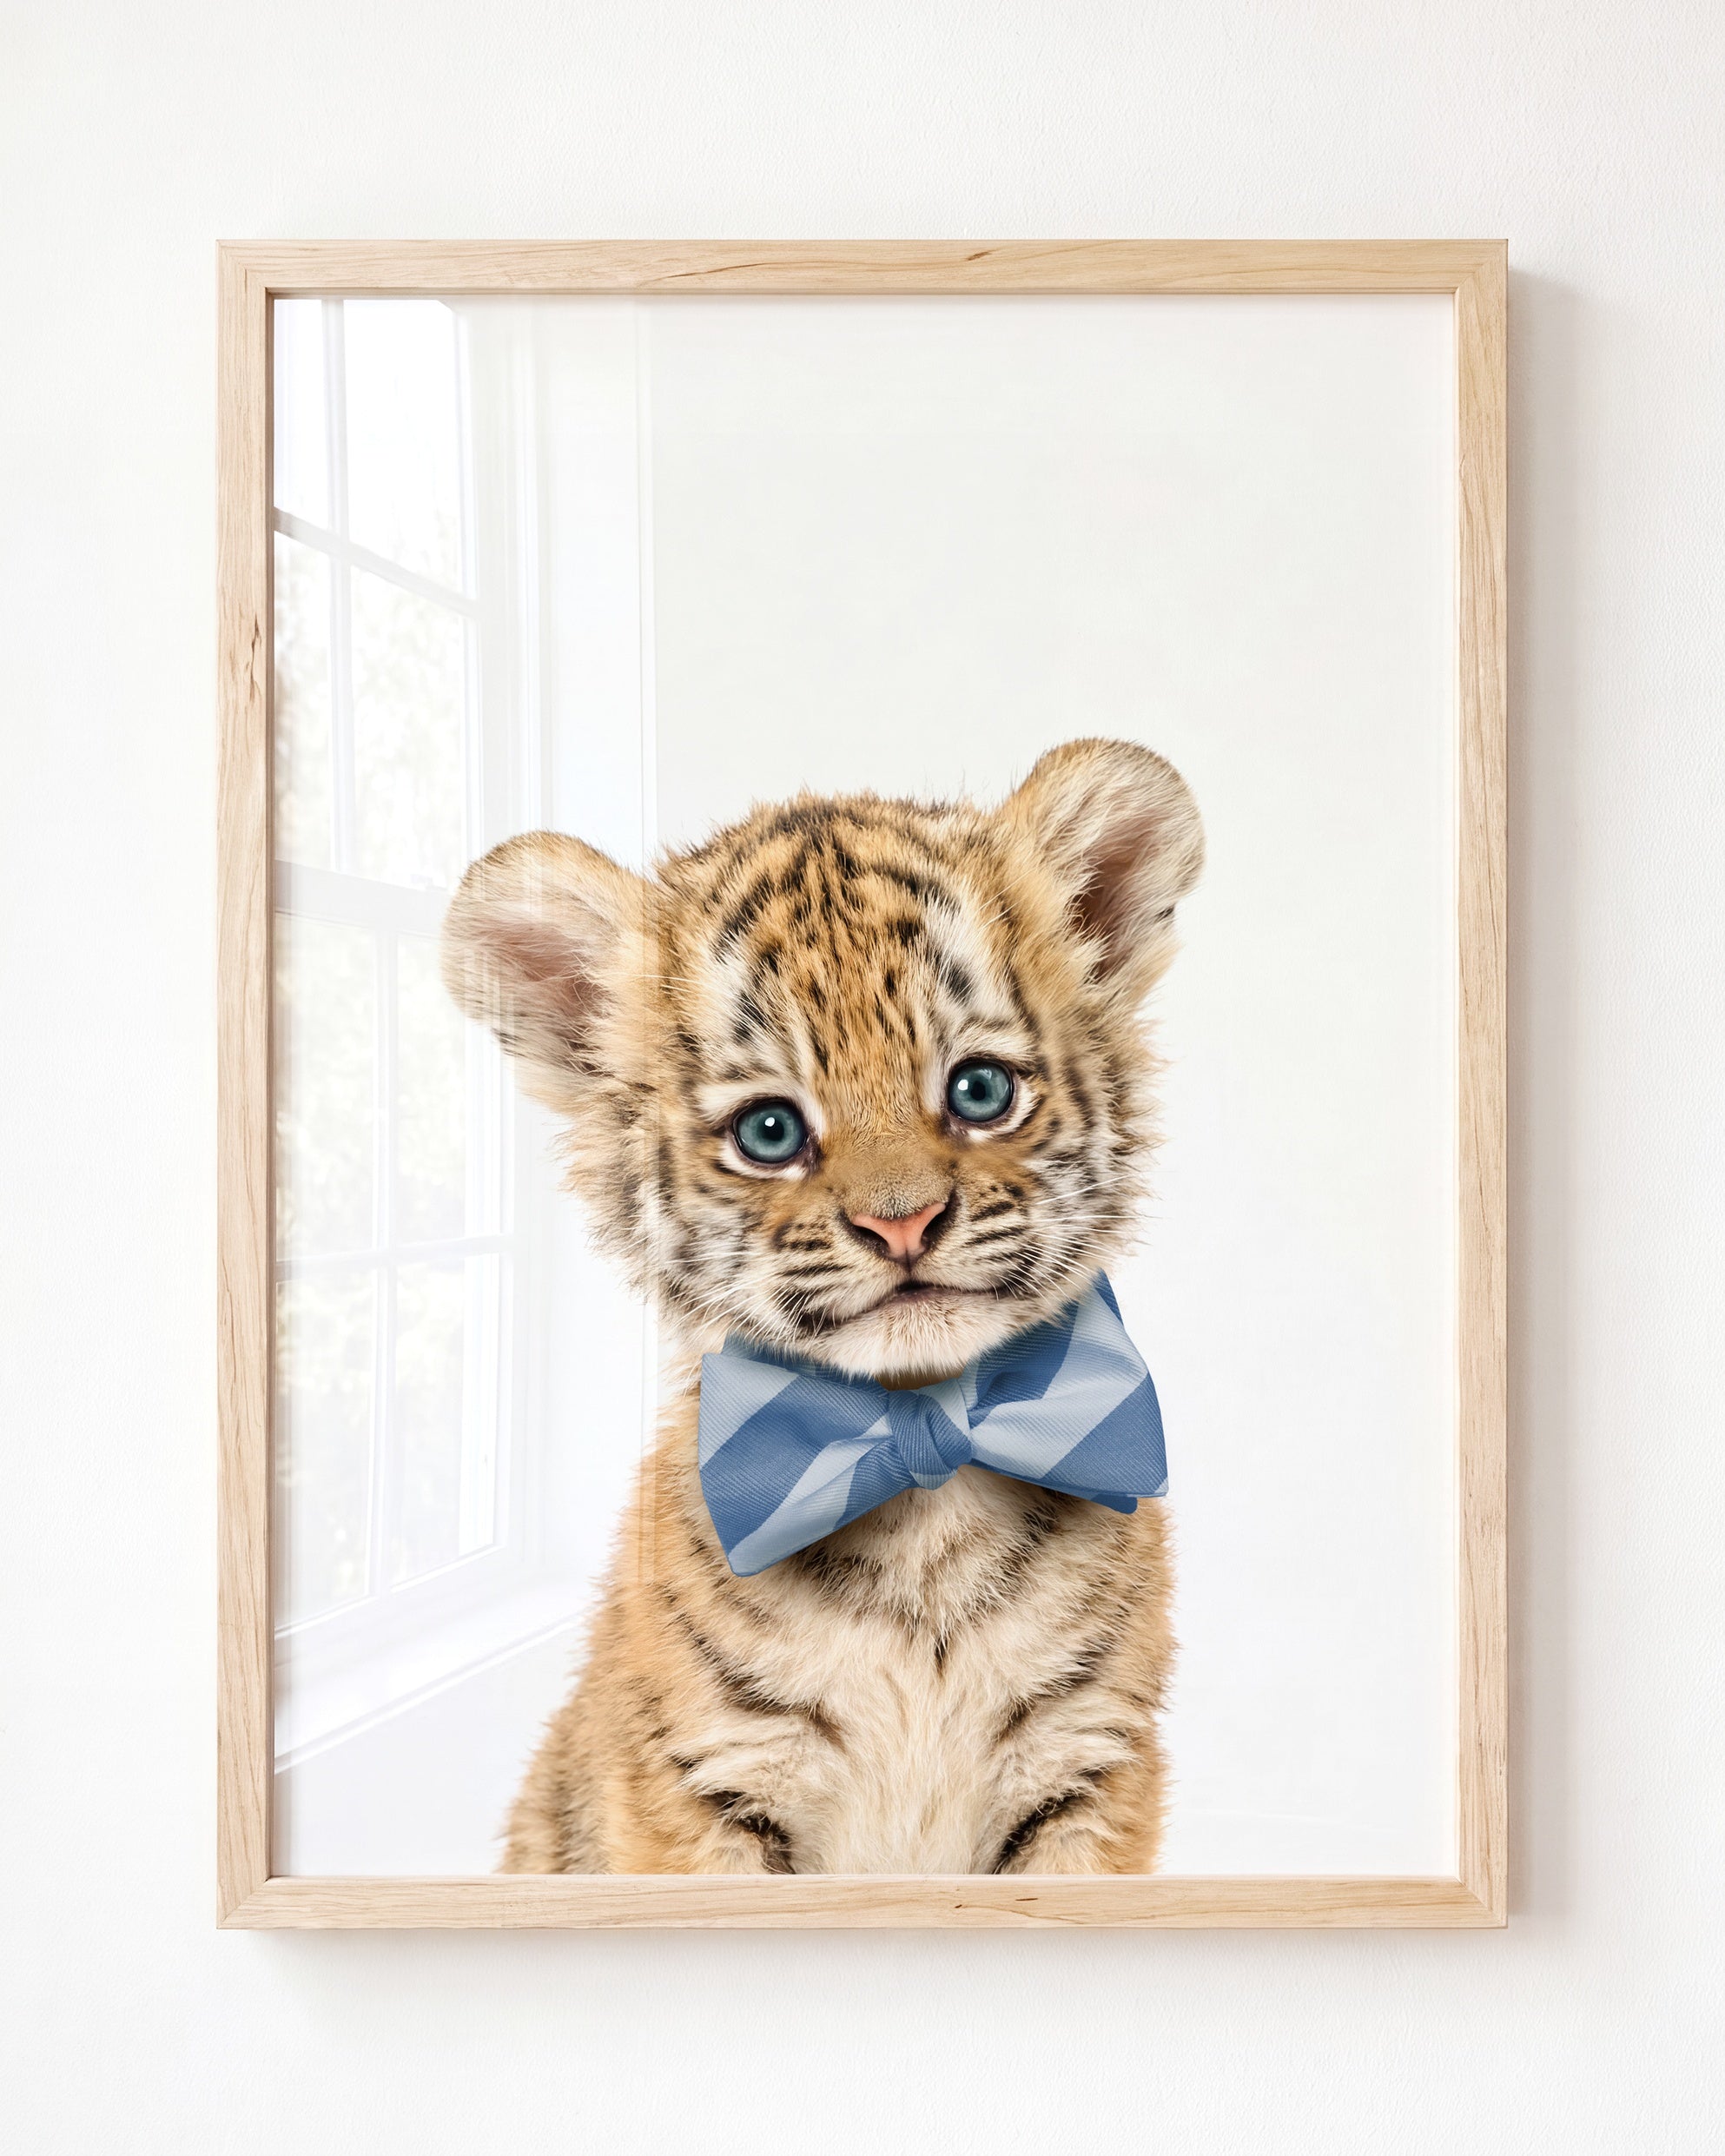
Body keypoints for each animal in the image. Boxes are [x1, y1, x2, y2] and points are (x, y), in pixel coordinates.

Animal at [441, 736, 1204, 1874]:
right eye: (769, 1131)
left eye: (980, 1091)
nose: (903, 1223)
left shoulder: (1089, 1764)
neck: (921, 1477)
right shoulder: (702, 1783)